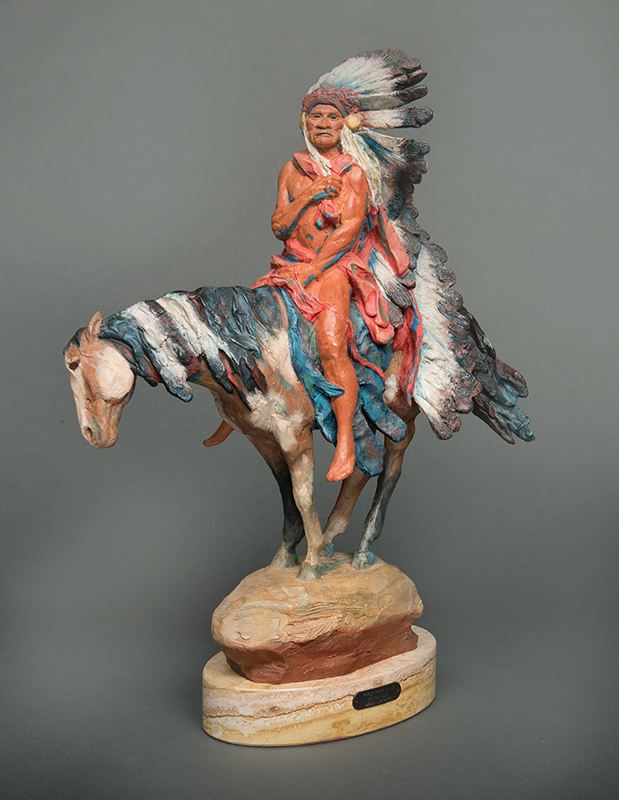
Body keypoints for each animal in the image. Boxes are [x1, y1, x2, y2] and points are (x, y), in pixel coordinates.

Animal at [63, 248, 533, 580]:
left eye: (72, 364)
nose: (90, 433)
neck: (246, 350)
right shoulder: (263, 437)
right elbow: (286, 492)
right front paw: (286, 556)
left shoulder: (295, 434)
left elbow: (304, 493)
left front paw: (308, 566)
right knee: (360, 467)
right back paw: (331, 537)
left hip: (402, 413)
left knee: (390, 468)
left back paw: (358, 549)